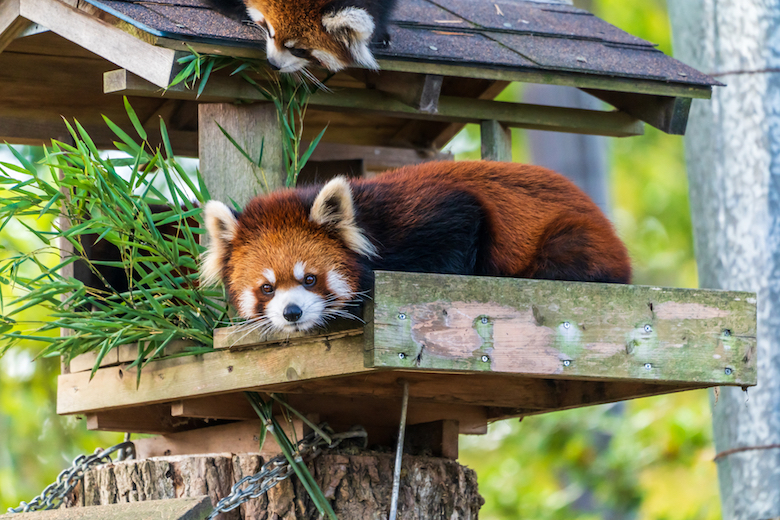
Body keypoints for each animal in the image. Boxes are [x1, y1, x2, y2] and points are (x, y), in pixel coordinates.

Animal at [200, 160, 628, 336]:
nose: (292, 313)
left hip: (573, 238)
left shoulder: (430, 213)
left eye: (309, 279)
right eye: (267, 288)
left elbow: (462, 225)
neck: (369, 227)